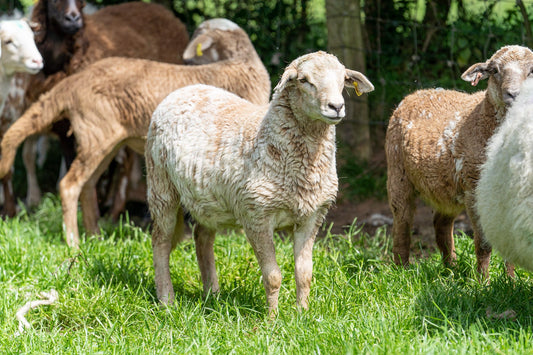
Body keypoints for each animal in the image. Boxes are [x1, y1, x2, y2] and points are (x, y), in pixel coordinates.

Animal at [0, 18, 270, 248]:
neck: (241, 66)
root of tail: (74, 83)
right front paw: (235, 235)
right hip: (96, 136)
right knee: (68, 185)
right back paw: (73, 243)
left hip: (103, 139)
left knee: (88, 186)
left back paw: (95, 237)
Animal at [143, 50, 372, 314]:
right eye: (304, 80)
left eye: (343, 79)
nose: (336, 107)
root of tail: (182, 90)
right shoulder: (257, 216)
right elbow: (273, 276)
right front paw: (272, 318)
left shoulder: (312, 216)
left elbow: (304, 273)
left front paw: (303, 315)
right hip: (160, 185)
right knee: (160, 241)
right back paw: (166, 300)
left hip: (207, 198)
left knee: (202, 237)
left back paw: (212, 295)